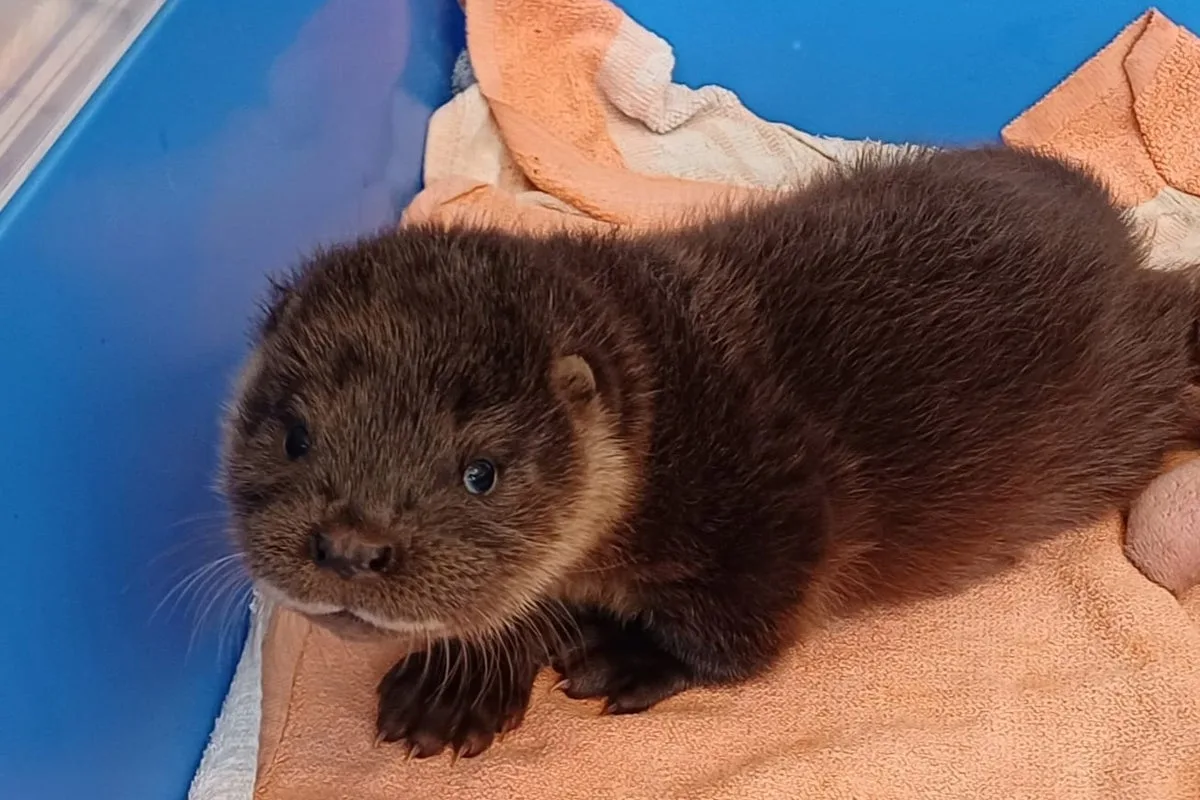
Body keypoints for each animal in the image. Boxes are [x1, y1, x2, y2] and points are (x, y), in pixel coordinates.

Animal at [221, 146, 1200, 760]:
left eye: (480, 473)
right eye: (295, 434)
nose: (351, 547)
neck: (668, 420)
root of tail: (1117, 230)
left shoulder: (778, 510)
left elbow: (741, 636)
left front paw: (626, 656)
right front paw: (452, 688)